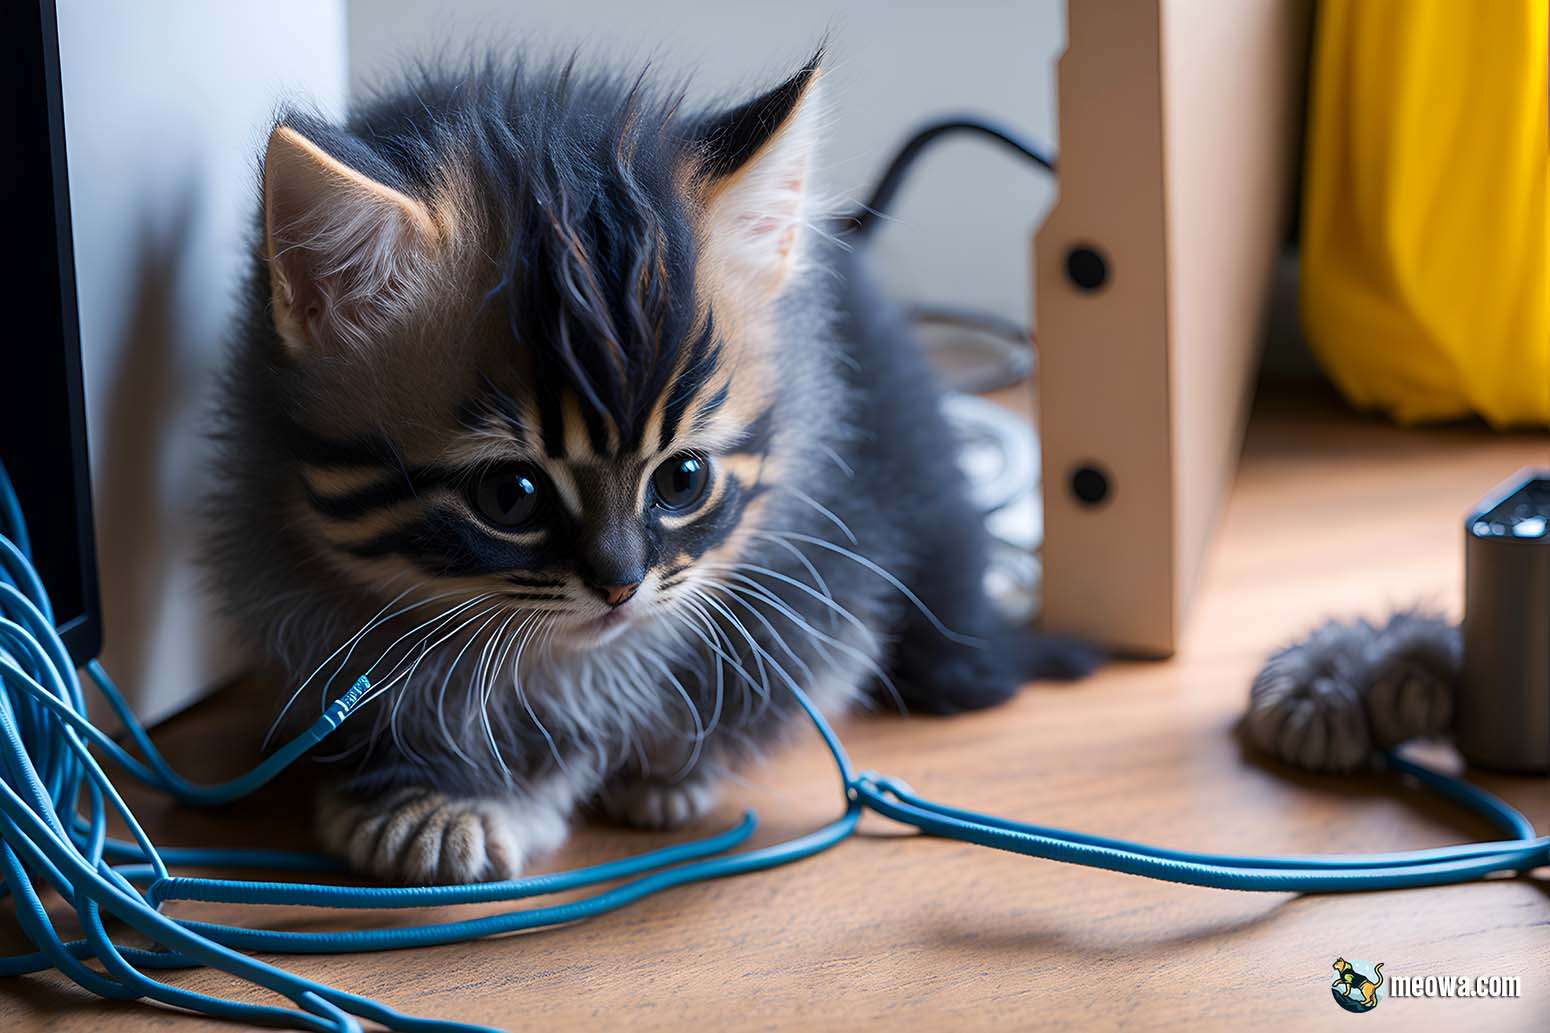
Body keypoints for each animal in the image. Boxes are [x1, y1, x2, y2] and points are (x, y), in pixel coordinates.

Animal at [212, 52, 1097, 880]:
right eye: (511, 495)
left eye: (683, 479)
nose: (621, 584)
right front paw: (429, 792)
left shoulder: (834, 547)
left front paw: (641, 763)